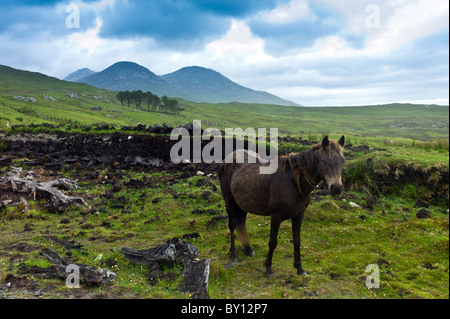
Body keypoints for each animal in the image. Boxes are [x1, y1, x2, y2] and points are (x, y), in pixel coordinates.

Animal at [218, 136, 344, 276]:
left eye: (343, 161)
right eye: (323, 160)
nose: (337, 188)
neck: (294, 183)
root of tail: (228, 158)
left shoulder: (299, 216)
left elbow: (297, 241)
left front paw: (300, 268)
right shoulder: (276, 216)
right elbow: (273, 242)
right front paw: (268, 268)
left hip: (242, 203)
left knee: (241, 223)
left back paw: (248, 249)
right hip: (229, 200)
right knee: (232, 225)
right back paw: (233, 254)